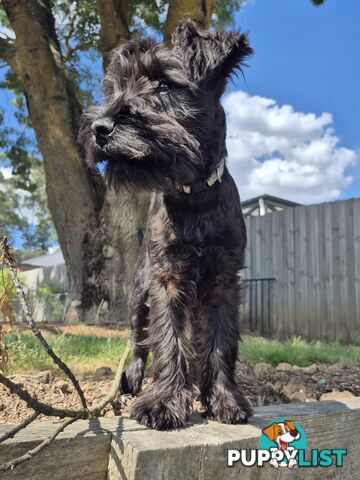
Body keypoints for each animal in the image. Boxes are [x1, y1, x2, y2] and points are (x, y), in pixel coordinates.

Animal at [79, 20, 253, 430]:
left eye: (163, 84)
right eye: (116, 87)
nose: (99, 128)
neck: (194, 196)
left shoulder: (224, 281)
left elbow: (220, 341)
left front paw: (223, 398)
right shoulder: (167, 279)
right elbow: (167, 338)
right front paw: (163, 402)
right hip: (138, 293)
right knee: (137, 339)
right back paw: (133, 378)